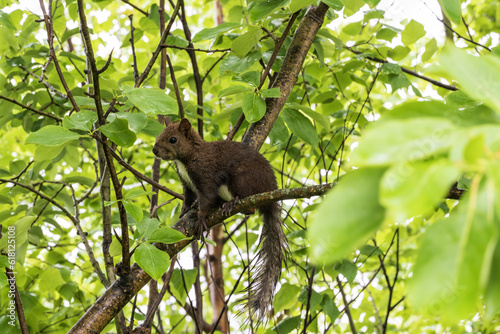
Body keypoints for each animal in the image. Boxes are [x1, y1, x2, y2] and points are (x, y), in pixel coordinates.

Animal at [152, 118, 288, 324]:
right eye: (160, 134)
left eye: (173, 139)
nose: (155, 150)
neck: (189, 157)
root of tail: (270, 196)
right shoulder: (187, 184)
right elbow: (188, 199)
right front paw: (184, 213)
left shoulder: (206, 177)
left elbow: (206, 198)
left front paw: (200, 219)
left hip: (240, 179)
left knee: (248, 206)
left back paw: (231, 203)